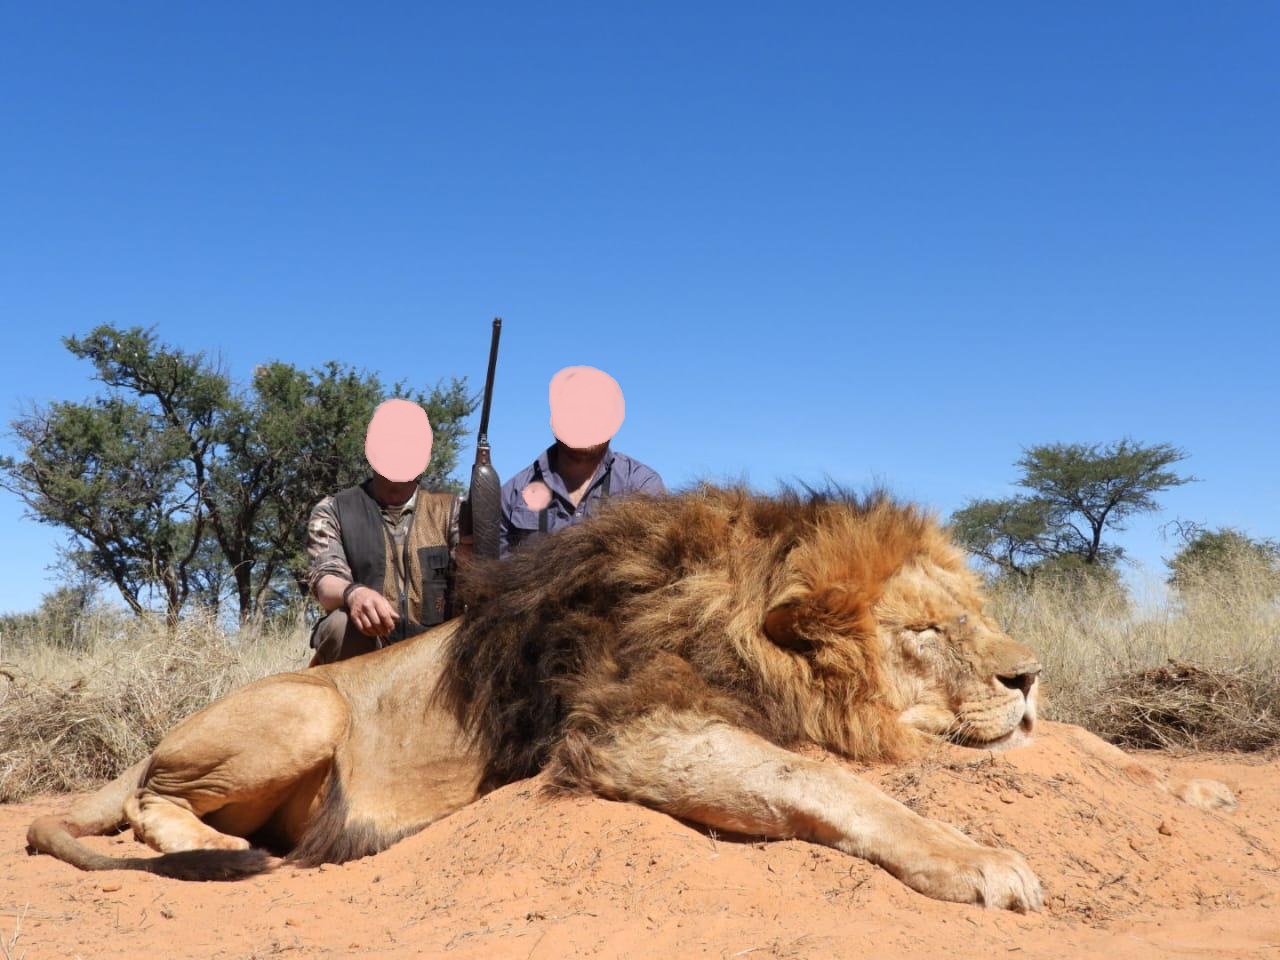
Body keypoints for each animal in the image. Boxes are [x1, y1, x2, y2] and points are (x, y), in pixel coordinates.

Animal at [26, 486, 1232, 911]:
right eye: (923, 633)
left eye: (971, 617)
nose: (1028, 675)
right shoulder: (623, 734)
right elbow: (832, 785)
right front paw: (981, 861)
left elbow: (1083, 747)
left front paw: (1204, 790)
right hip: (303, 715)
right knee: (151, 803)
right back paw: (235, 848)